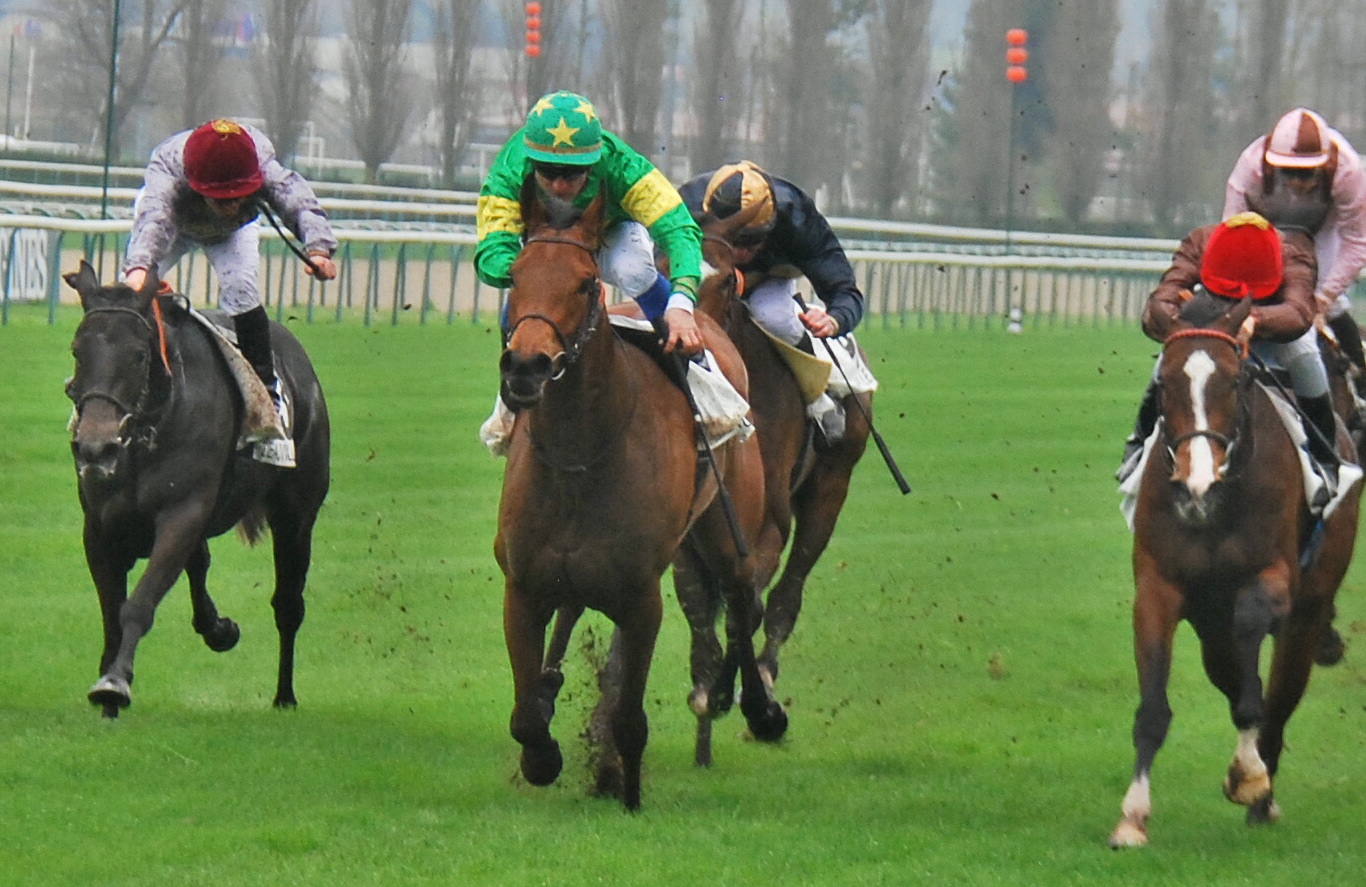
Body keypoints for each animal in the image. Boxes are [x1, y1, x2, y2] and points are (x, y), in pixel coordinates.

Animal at [64, 259, 330, 716]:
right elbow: (112, 616)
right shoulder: (100, 527)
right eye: (78, 351)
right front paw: (107, 697)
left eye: (138, 355)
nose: (95, 447)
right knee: (200, 563)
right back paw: (218, 629)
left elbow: (138, 604)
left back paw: (284, 695)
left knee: (288, 605)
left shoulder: (181, 514)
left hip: (296, 515)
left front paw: (115, 683)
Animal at [497, 184, 786, 809]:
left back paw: (758, 708)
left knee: (742, 598)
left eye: (586, 283)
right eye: (514, 273)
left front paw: (624, 790)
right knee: (571, 611)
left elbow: (630, 717)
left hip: (726, 526)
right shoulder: (523, 586)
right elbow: (525, 715)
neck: (580, 453)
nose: (526, 366)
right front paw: (543, 755)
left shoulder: (641, 598)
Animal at [1109, 292, 1355, 841]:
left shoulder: (1273, 579)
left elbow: (1252, 680)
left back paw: (1263, 796)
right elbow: (1153, 708)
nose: (1197, 483)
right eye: (1164, 382)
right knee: (1231, 670)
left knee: (1280, 697)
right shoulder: (1157, 587)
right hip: (1209, 623)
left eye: (1235, 380)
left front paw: (1249, 776)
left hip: (1308, 610)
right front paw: (1132, 816)